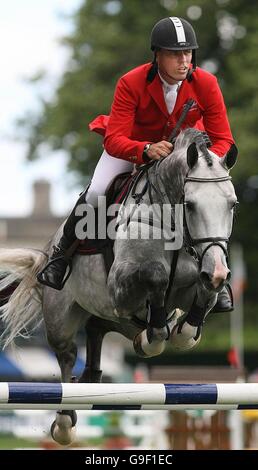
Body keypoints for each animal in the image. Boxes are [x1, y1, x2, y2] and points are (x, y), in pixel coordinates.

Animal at [0, 127, 238, 444]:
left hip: (115, 319)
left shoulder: (195, 284)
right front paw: (158, 333)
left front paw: (179, 330)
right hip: (62, 320)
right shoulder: (120, 289)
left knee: (97, 329)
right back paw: (64, 423)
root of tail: (48, 250)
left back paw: (116, 358)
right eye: (190, 205)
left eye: (233, 204)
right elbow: (156, 276)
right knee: (67, 356)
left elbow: (200, 306)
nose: (218, 271)